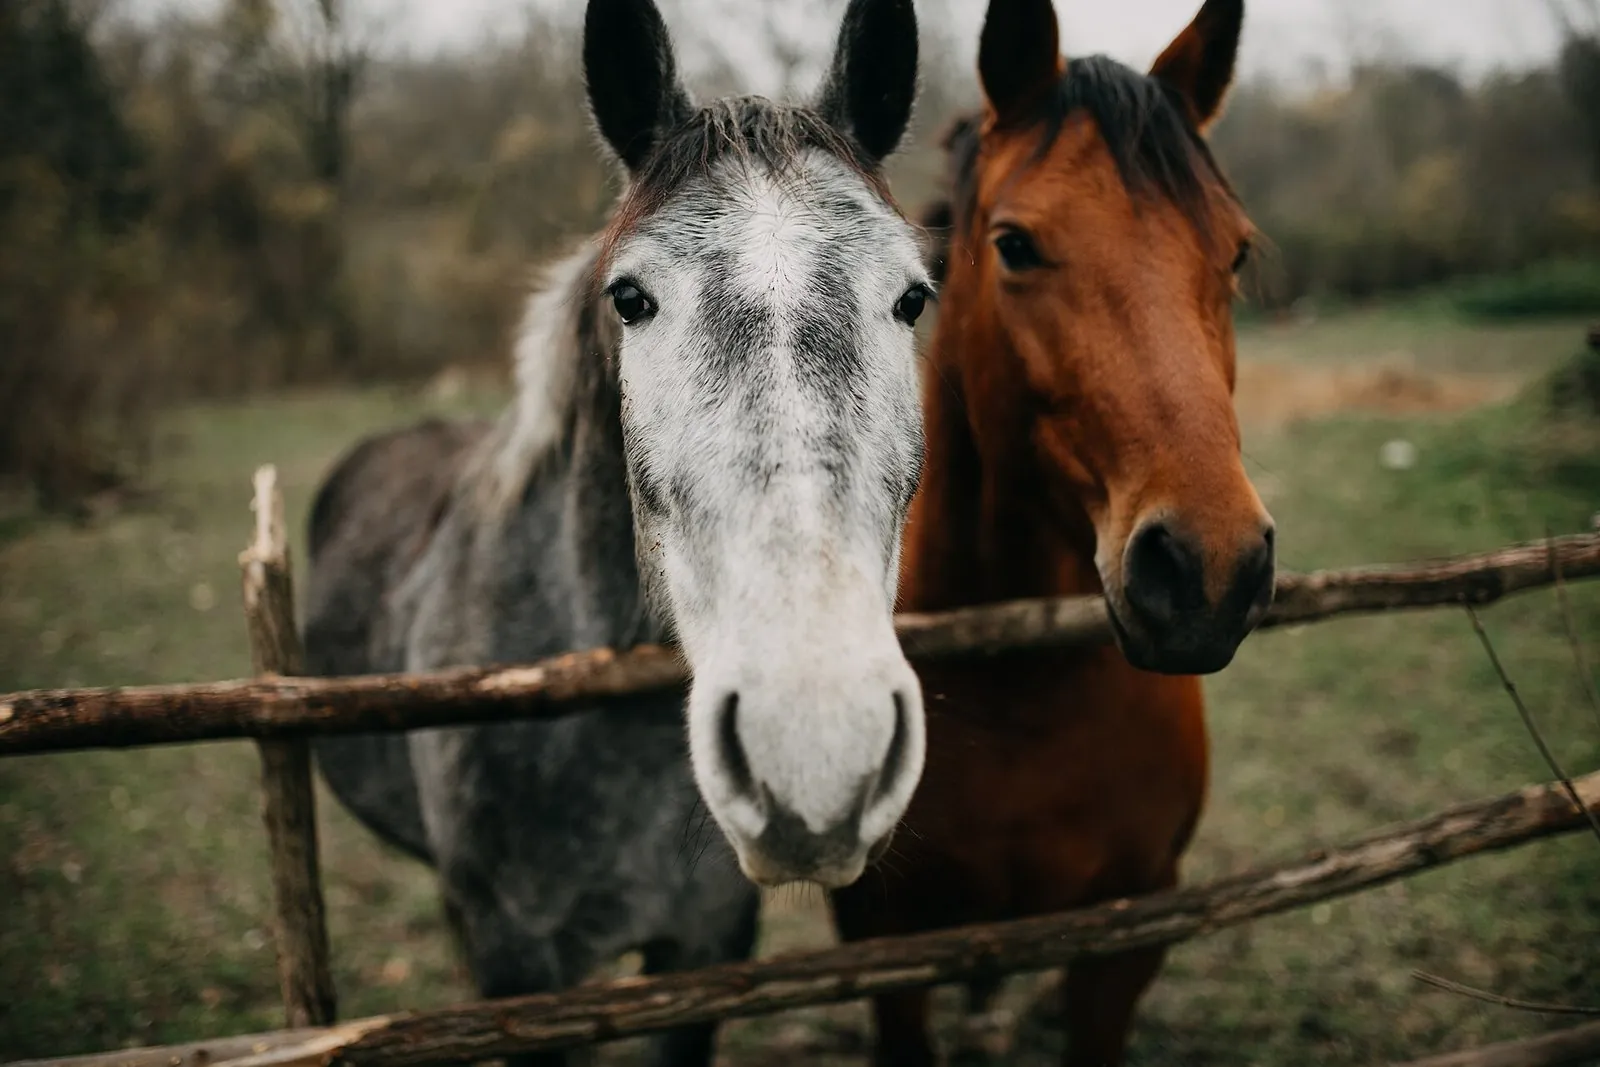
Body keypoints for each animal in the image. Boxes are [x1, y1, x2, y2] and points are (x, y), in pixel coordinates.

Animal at [830, 0, 1274, 1064]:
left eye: (1235, 252)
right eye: (1016, 245)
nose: (1208, 570)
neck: (1023, 693)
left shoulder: (1129, 934)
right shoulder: (883, 947)